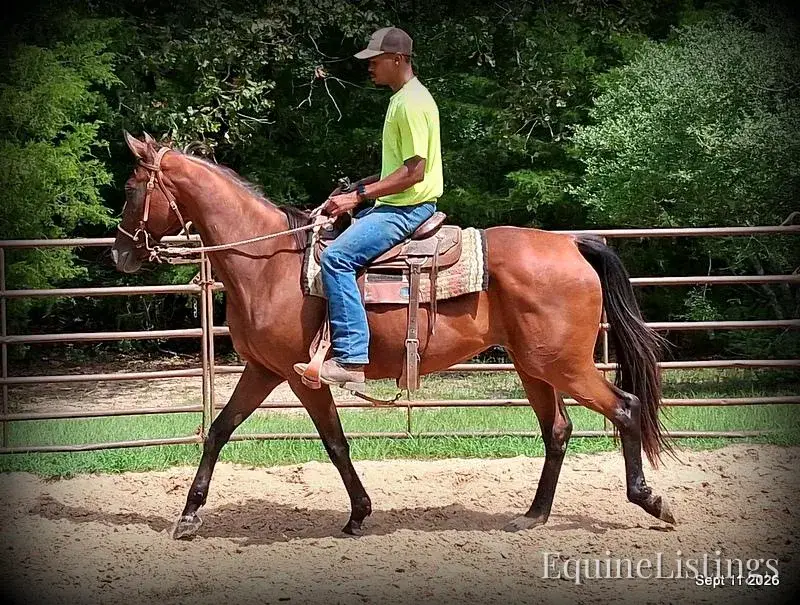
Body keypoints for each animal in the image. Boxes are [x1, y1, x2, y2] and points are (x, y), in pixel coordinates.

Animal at [112, 132, 675, 539]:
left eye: (131, 188)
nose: (119, 253)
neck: (269, 264)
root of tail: (573, 244)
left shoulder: (301, 377)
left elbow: (334, 442)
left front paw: (359, 513)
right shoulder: (263, 369)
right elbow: (219, 430)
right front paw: (189, 516)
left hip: (565, 364)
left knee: (625, 408)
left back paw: (650, 500)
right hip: (533, 364)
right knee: (557, 429)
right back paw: (533, 515)